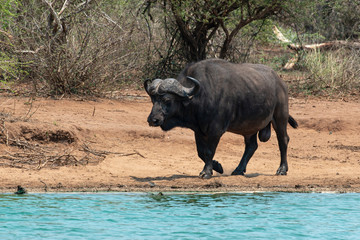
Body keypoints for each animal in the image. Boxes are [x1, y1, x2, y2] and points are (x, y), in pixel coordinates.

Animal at [144, 57, 298, 178]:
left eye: (167, 100)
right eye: (153, 99)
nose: (153, 120)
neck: (201, 95)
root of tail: (280, 82)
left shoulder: (216, 130)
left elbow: (209, 151)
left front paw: (206, 172)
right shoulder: (198, 130)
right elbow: (201, 152)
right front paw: (217, 166)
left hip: (280, 117)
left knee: (283, 140)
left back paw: (282, 169)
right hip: (250, 127)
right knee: (251, 146)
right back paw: (238, 170)